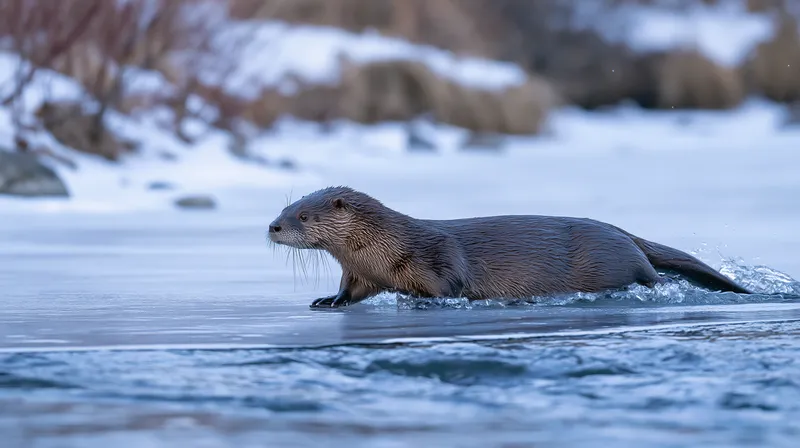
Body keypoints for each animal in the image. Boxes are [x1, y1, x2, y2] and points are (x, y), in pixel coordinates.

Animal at [267, 186, 753, 308]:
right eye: (285, 206)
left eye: (303, 216)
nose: (272, 226)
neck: (385, 248)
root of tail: (623, 232)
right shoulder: (360, 273)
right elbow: (350, 292)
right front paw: (327, 301)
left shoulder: (436, 258)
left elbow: (447, 287)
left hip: (616, 259)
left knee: (652, 276)